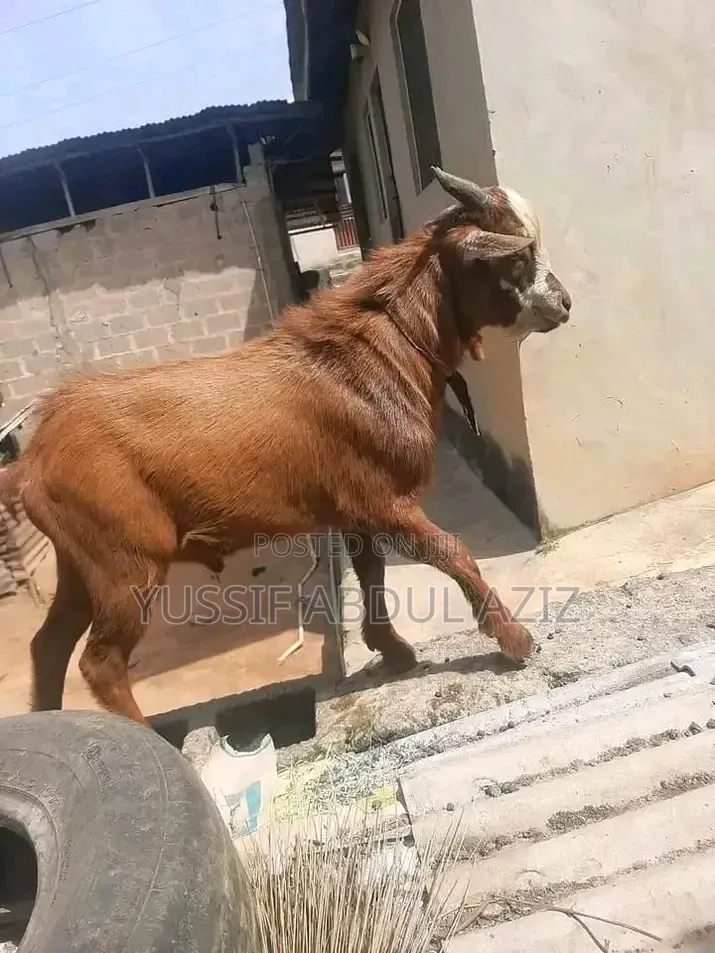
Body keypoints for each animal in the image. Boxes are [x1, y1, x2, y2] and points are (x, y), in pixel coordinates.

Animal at [1, 167, 571, 728]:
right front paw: (513, 640)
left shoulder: (353, 508)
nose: (564, 303)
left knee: (48, 644)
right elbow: (453, 553)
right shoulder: (384, 500)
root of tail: (31, 461)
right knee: (101, 661)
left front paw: (390, 648)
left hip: (83, 562)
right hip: (125, 561)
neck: (382, 350)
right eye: (516, 257)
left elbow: (371, 571)